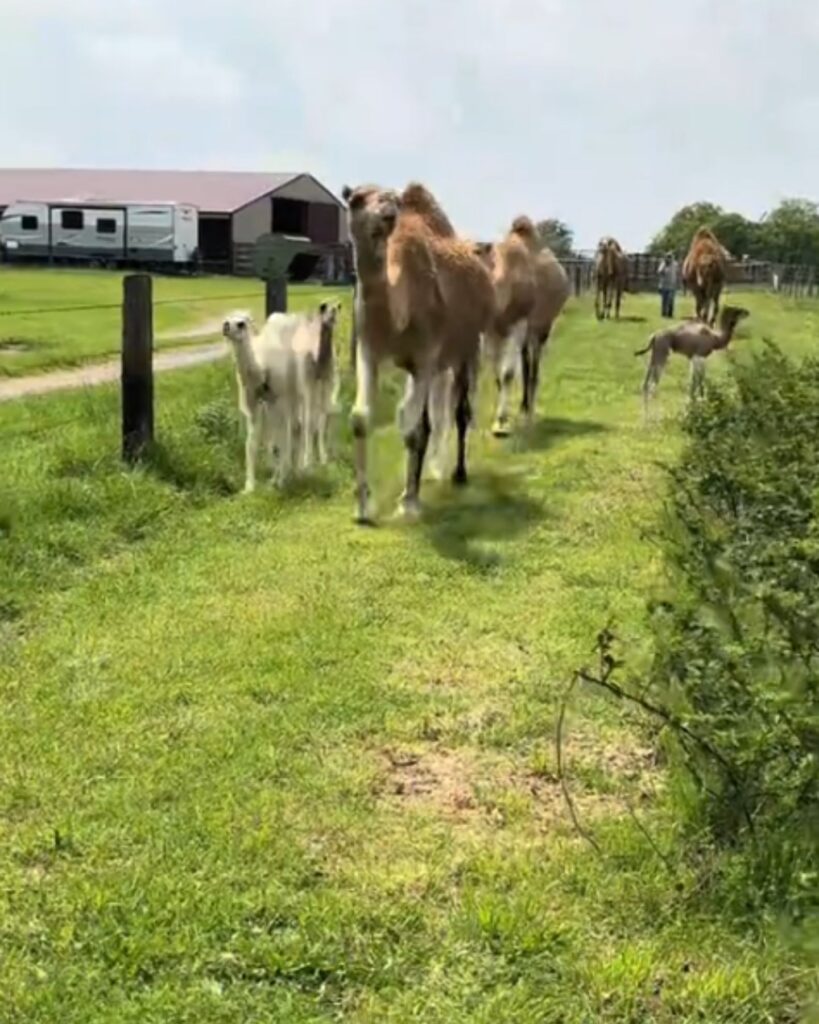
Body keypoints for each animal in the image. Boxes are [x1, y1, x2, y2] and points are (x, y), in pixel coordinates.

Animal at [342, 180, 494, 523]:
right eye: (356, 199)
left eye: (393, 200)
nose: (387, 211)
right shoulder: (369, 351)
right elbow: (361, 418)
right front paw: (362, 507)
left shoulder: (425, 356)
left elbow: (412, 429)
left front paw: (409, 502)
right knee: (430, 417)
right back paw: (432, 472)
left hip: (466, 347)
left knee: (460, 411)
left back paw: (457, 473)